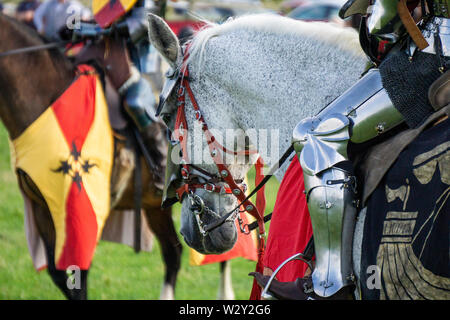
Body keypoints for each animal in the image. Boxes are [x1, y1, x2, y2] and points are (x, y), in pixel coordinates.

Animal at [0, 13, 183, 300]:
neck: (48, 100)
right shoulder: (42, 207)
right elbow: (59, 275)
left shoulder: (85, 206)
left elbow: (80, 275)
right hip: (155, 206)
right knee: (173, 252)